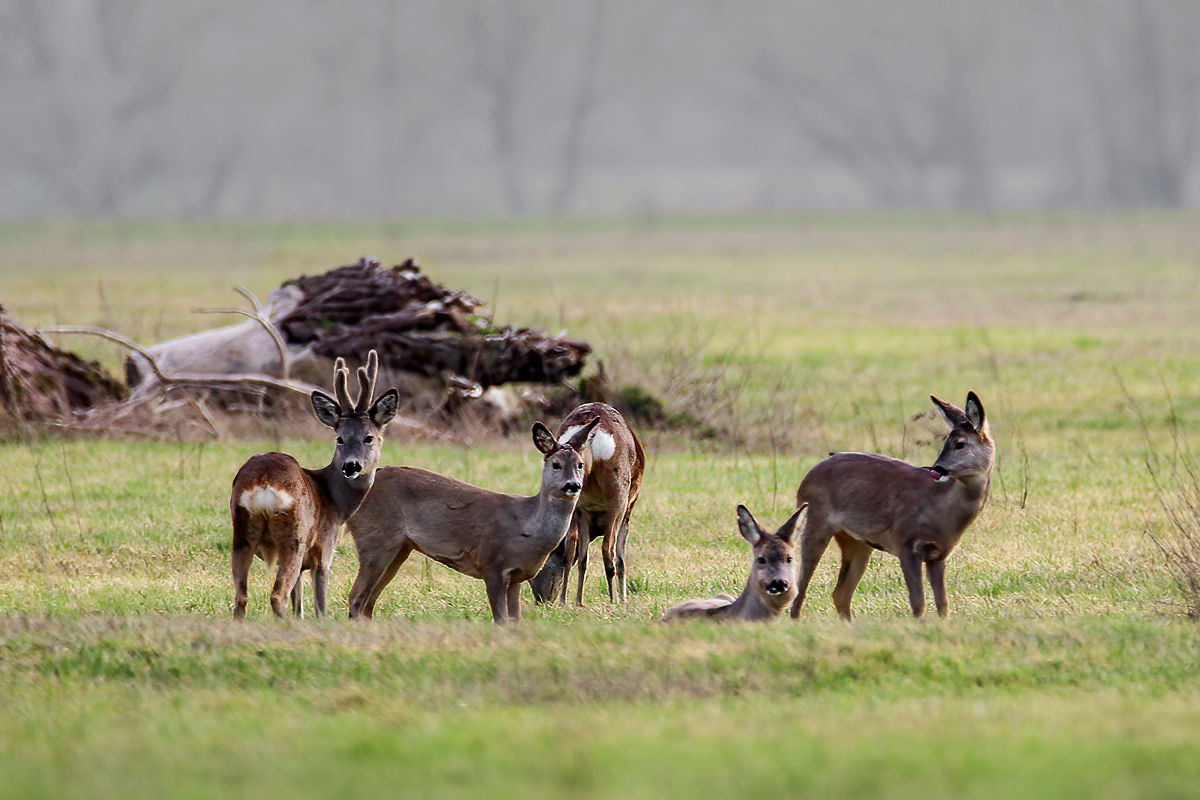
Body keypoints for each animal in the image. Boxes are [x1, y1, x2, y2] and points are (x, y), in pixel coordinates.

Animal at [231, 350, 400, 618]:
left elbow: (298, 606)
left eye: (368, 437)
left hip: (241, 531)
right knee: (277, 595)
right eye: (340, 438)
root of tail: (263, 483)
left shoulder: (304, 564)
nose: (351, 466)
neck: (336, 501)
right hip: (294, 536)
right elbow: (320, 606)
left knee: (241, 596)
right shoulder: (324, 550)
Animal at [345, 419, 597, 623]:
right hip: (376, 538)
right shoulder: (491, 563)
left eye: (580, 465)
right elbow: (501, 619)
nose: (573, 485)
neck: (527, 527)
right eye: (556, 464)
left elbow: (514, 621)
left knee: (367, 602)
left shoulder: (516, 576)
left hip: (400, 548)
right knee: (356, 598)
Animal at [532, 402, 648, 604]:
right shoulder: (626, 509)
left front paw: (577, 601)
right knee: (608, 550)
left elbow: (580, 556)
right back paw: (613, 601)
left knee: (572, 550)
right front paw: (623, 599)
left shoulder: (584, 510)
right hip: (619, 495)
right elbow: (620, 557)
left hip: (575, 503)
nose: (541, 600)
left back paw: (568, 601)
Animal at [787, 391, 993, 623]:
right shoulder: (906, 542)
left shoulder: (939, 554)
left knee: (840, 594)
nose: (937, 468)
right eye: (945, 442)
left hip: (857, 541)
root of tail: (807, 476)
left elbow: (942, 603)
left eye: (960, 443)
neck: (941, 508)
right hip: (814, 520)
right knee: (801, 589)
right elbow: (918, 602)